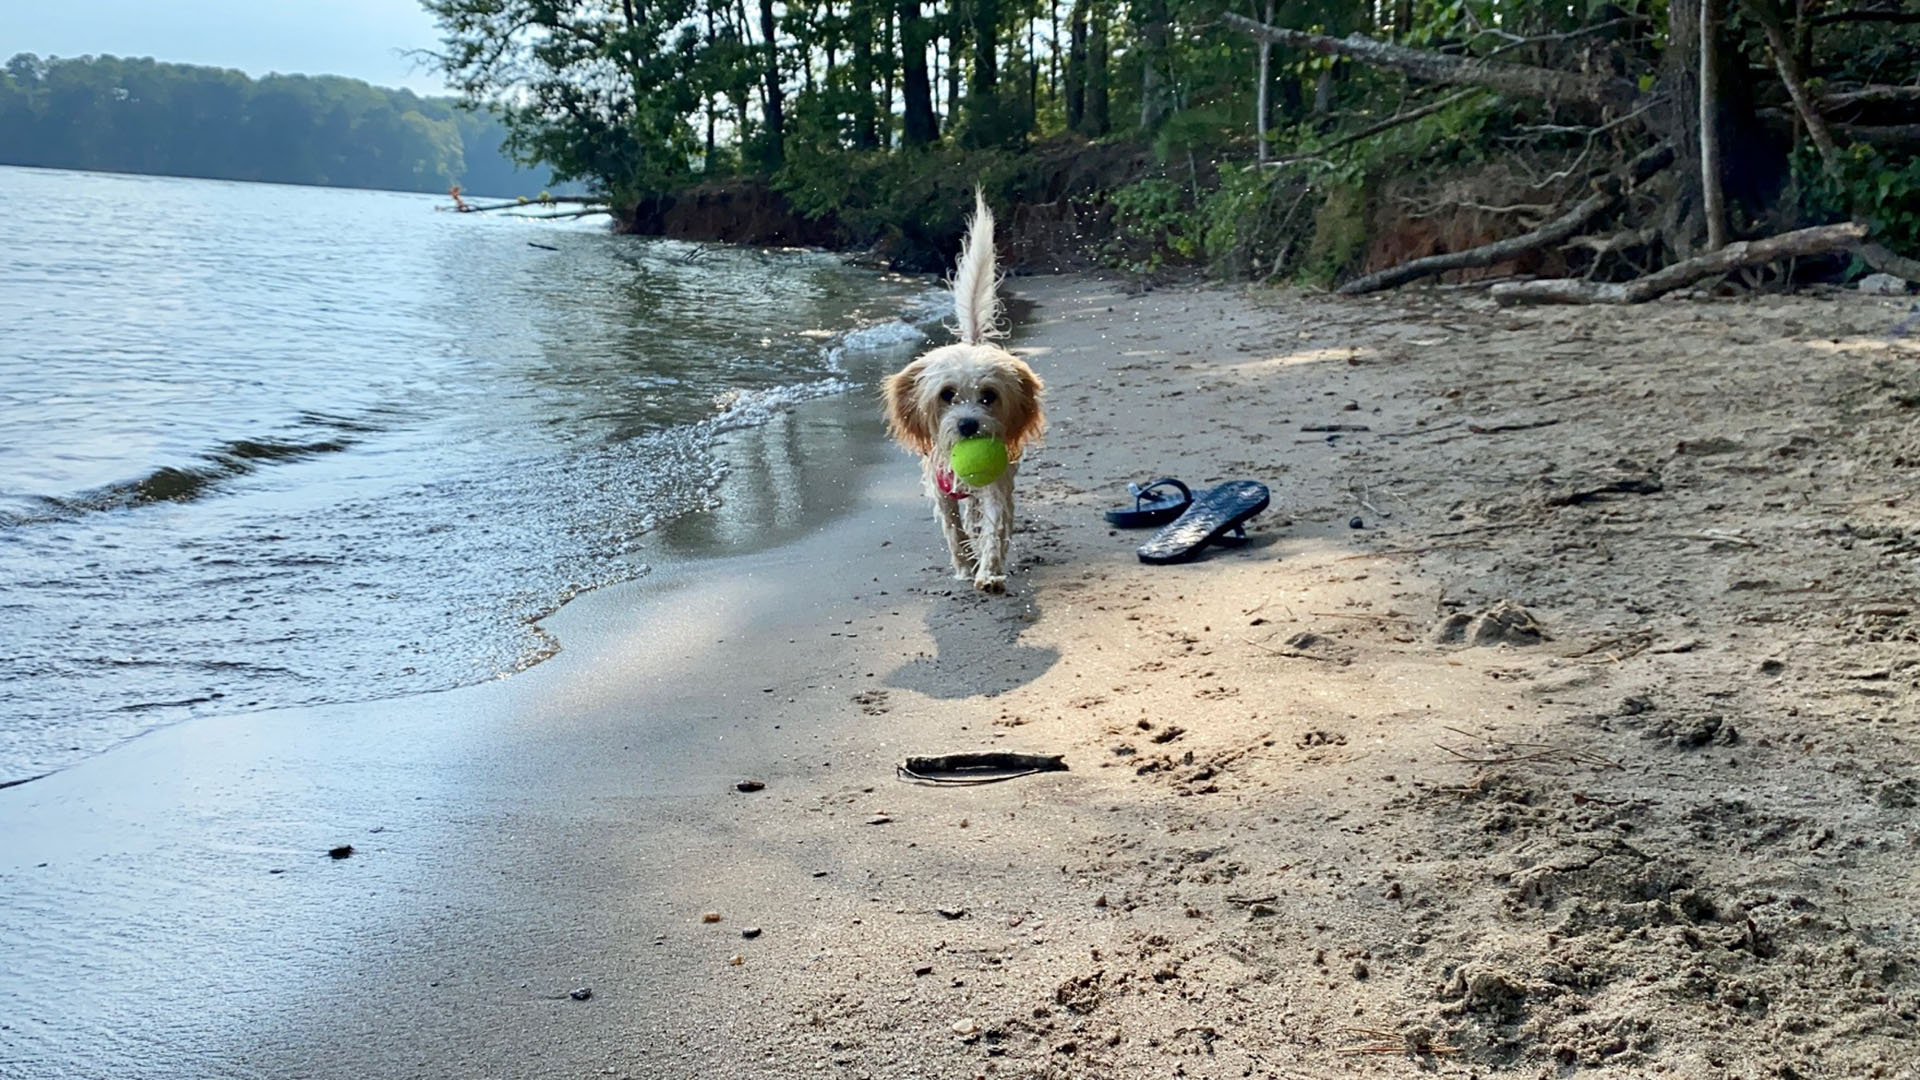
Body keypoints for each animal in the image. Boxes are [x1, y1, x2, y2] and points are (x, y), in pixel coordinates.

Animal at [887, 190, 1052, 591]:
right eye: (946, 394)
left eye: (989, 396)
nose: (968, 425)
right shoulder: (940, 488)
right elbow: (952, 529)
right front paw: (965, 565)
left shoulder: (998, 485)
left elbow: (995, 526)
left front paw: (989, 571)